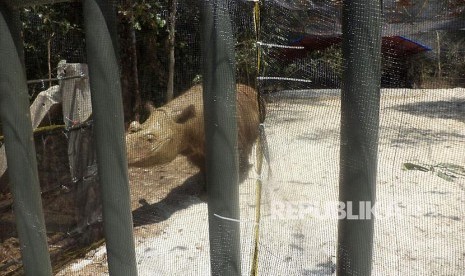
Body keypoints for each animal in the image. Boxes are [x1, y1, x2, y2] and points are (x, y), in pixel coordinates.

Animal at [126, 83, 264, 179]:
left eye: (150, 139)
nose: (126, 154)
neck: (184, 123)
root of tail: (250, 87)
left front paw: (238, 178)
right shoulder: (190, 147)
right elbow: (202, 166)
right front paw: (204, 190)